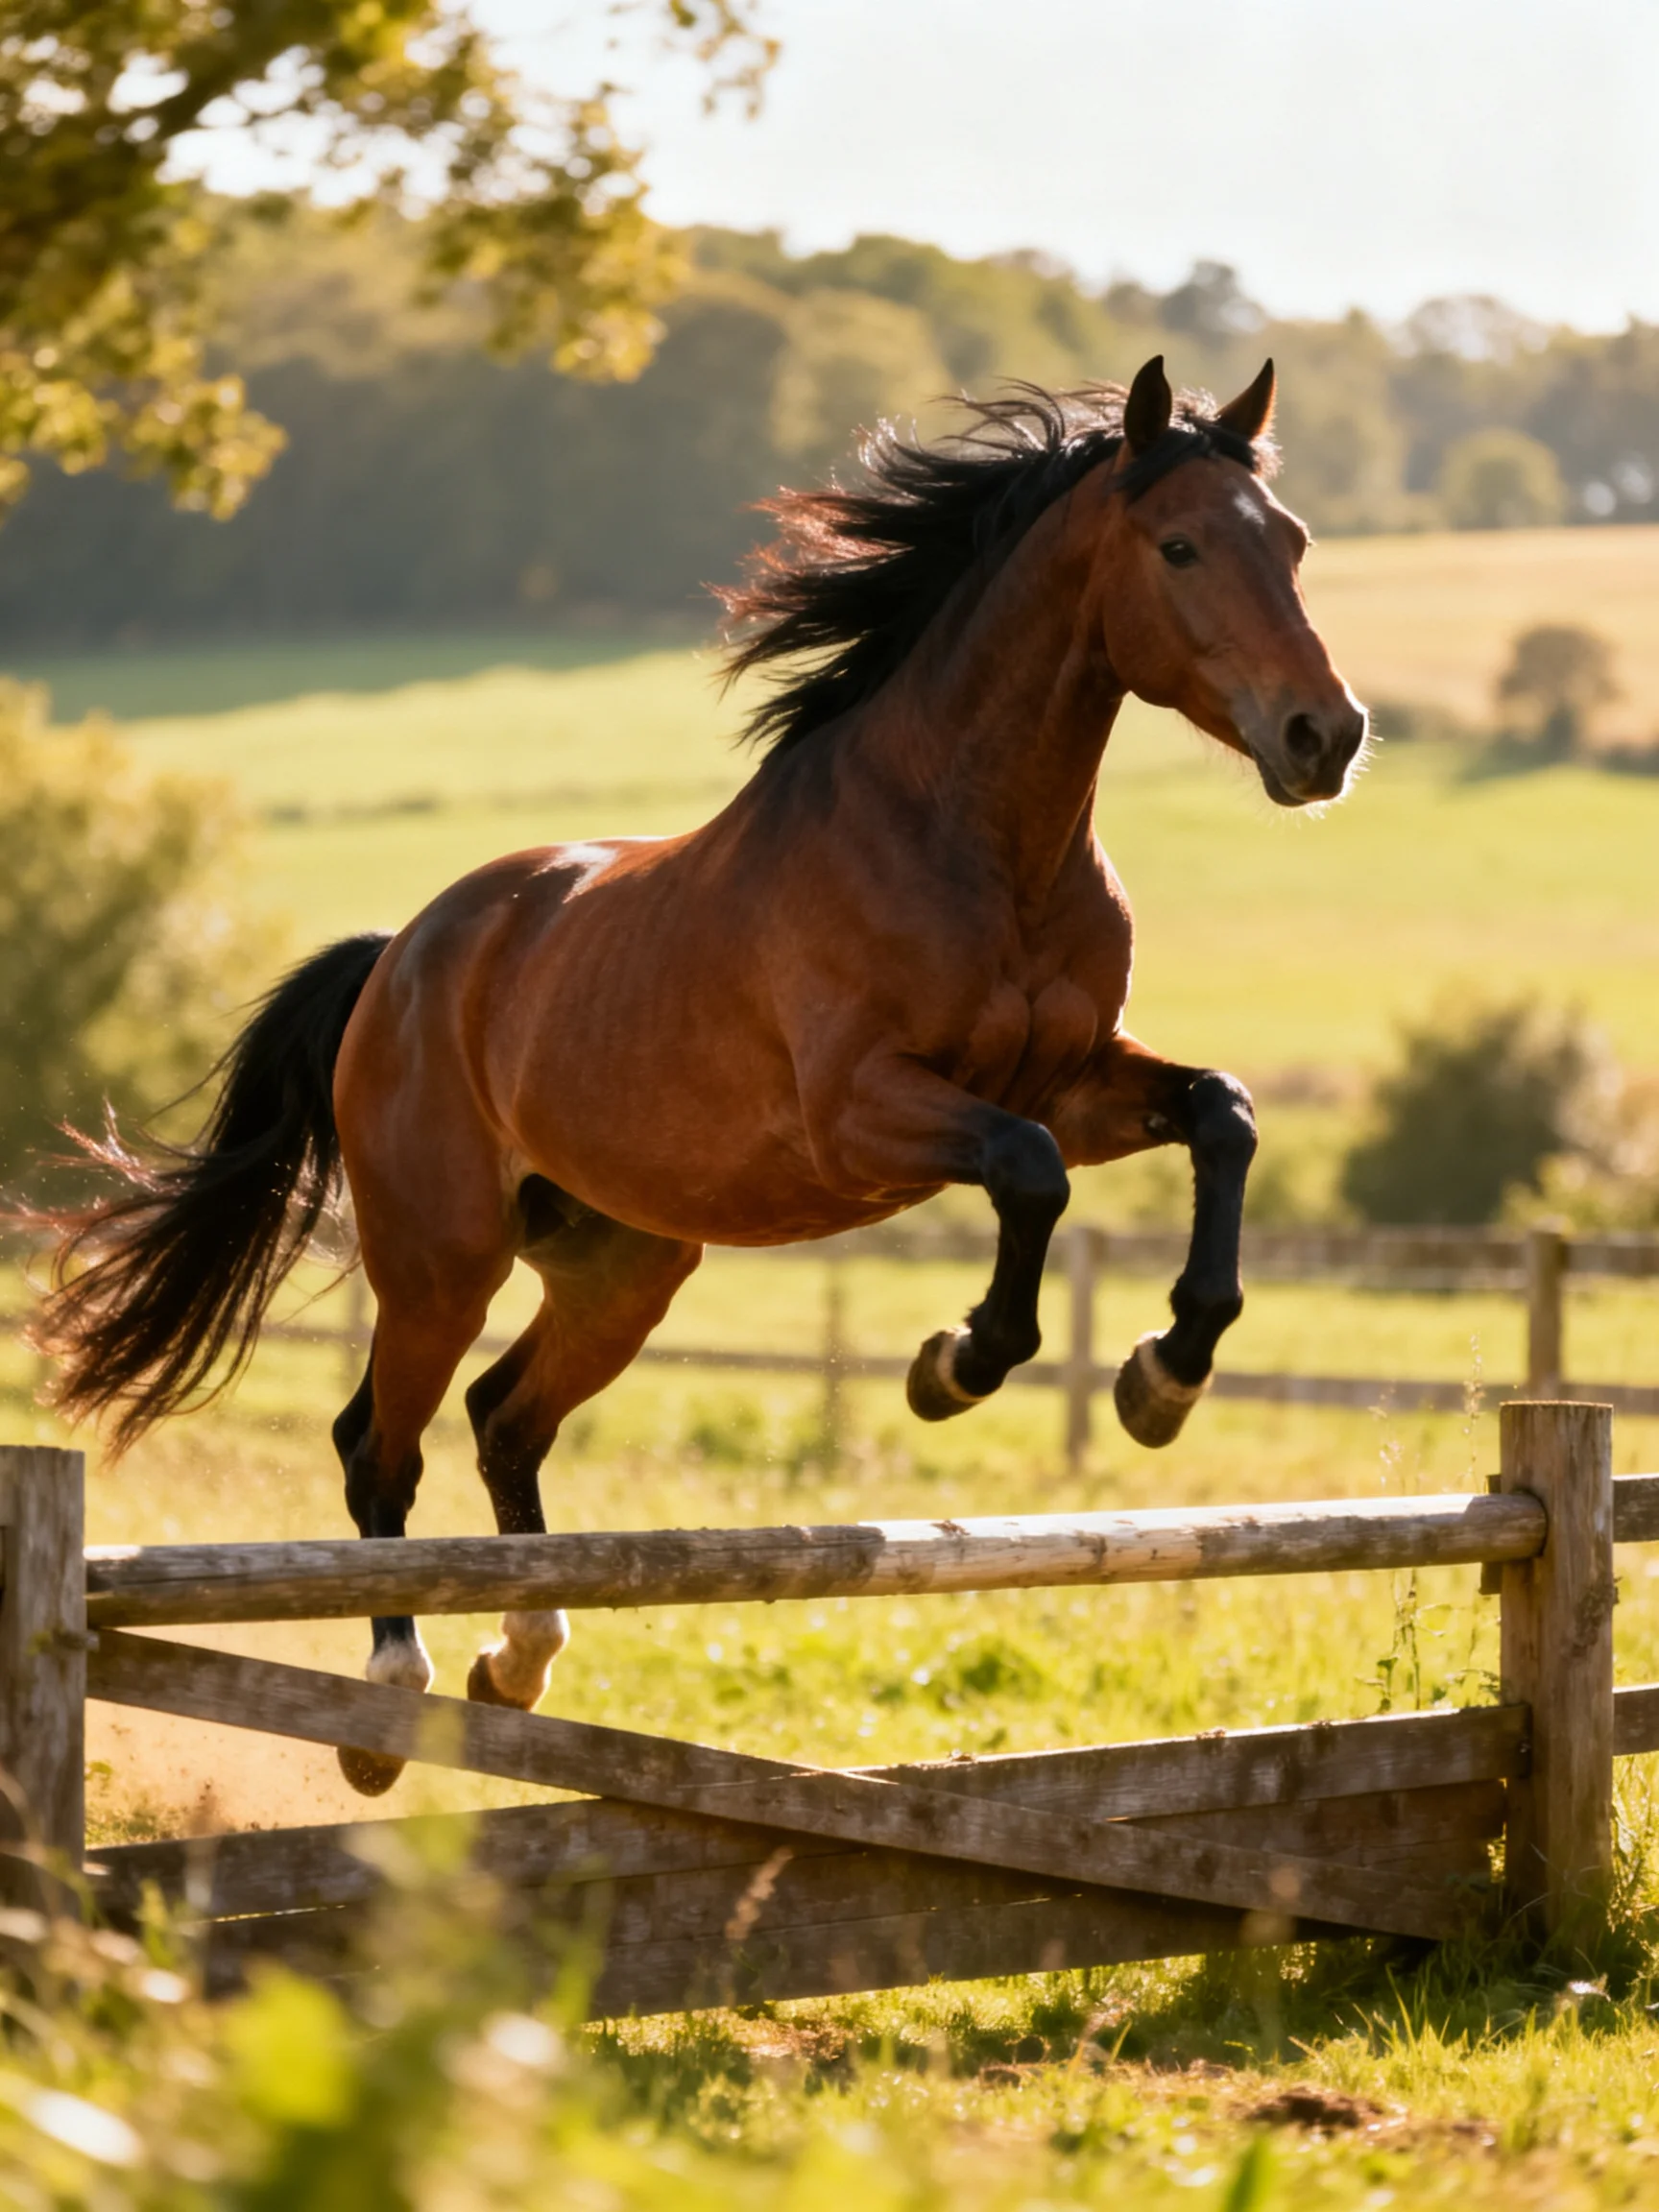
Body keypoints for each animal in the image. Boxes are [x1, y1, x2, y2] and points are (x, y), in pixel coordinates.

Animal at [35, 355, 1367, 1795]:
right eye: (1179, 546)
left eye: (1292, 542)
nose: (1327, 736)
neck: (972, 837)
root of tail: (402, 956)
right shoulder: (864, 1112)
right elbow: (1031, 1177)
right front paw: (955, 1365)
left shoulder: (1075, 1077)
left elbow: (1220, 1115)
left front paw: (1162, 1375)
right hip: (441, 1261)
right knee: (377, 1446)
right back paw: (394, 1700)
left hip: (621, 1265)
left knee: (505, 1418)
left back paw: (520, 1658)